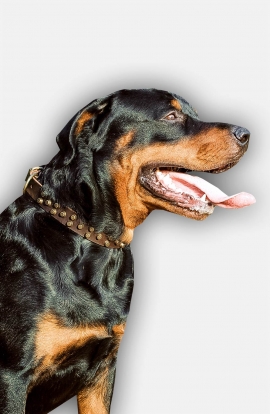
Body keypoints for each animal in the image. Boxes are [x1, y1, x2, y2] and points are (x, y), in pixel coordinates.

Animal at [0, 88, 255, 414]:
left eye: (194, 114)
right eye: (171, 116)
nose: (246, 134)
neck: (91, 238)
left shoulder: (102, 369)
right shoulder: (12, 376)